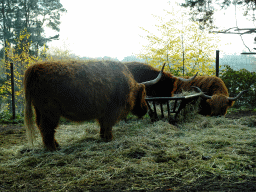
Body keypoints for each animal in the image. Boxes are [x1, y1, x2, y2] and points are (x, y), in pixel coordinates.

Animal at [23, 59, 164, 150]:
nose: (145, 109)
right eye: (143, 94)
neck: (128, 85)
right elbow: (108, 125)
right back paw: (52, 148)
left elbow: (103, 125)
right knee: (46, 128)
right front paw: (109, 138)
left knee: (41, 126)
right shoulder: (112, 111)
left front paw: (103, 137)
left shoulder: (104, 112)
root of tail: (35, 68)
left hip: (40, 110)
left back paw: (54, 144)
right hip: (50, 111)